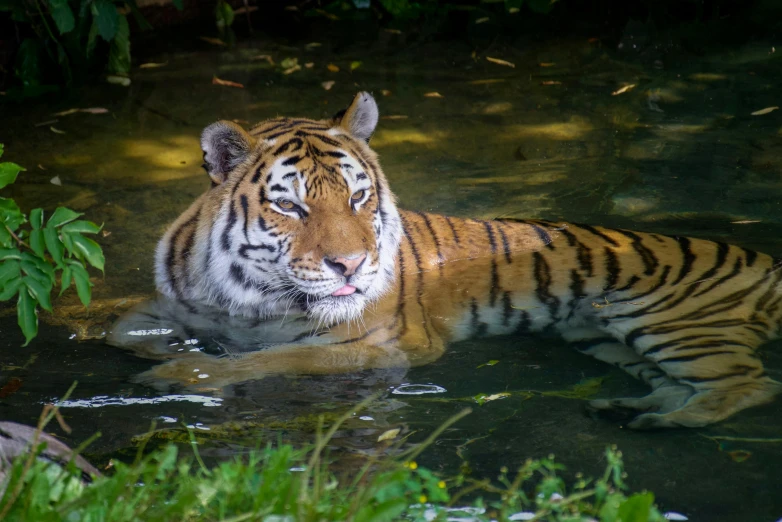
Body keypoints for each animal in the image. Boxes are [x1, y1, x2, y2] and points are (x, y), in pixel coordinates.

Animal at [110, 91, 782, 428]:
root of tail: (768, 261)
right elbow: (126, 328)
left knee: (752, 383)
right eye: (291, 207)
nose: (351, 266)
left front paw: (180, 374)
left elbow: (270, 359)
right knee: (679, 383)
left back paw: (671, 422)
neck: (247, 292)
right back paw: (634, 411)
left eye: (357, 197)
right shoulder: (177, 306)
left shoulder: (377, 345)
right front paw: (153, 350)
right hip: (602, 336)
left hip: (671, 323)